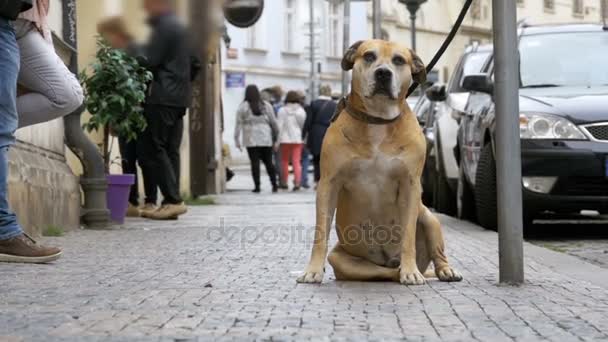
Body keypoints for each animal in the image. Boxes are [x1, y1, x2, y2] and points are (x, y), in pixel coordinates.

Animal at [298, 40, 460, 286]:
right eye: (369, 56)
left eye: (399, 60)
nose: (383, 72)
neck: (378, 120)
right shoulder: (328, 184)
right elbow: (320, 231)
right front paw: (313, 270)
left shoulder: (410, 186)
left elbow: (408, 235)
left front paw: (411, 270)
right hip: (341, 258)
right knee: (382, 273)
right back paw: (398, 271)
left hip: (429, 218)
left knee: (436, 251)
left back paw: (440, 270)